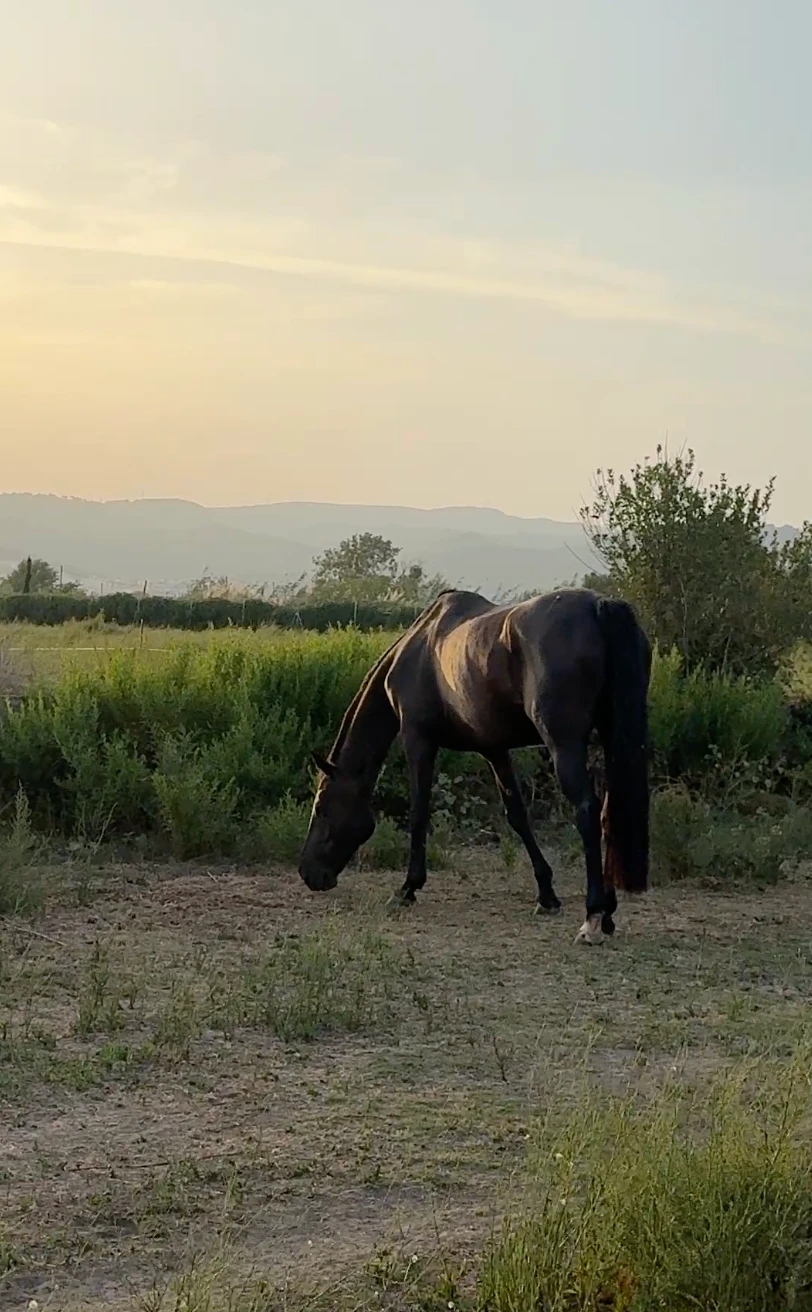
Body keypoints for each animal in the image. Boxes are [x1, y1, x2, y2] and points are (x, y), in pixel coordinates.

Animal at [299, 588, 651, 945]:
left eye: (322, 807)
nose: (308, 873)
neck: (418, 647)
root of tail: (597, 606)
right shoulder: (494, 750)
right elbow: (517, 816)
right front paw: (546, 894)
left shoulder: (417, 739)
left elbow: (419, 813)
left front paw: (408, 888)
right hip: (611, 736)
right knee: (609, 813)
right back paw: (607, 914)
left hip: (564, 744)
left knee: (587, 812)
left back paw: (592, 918)